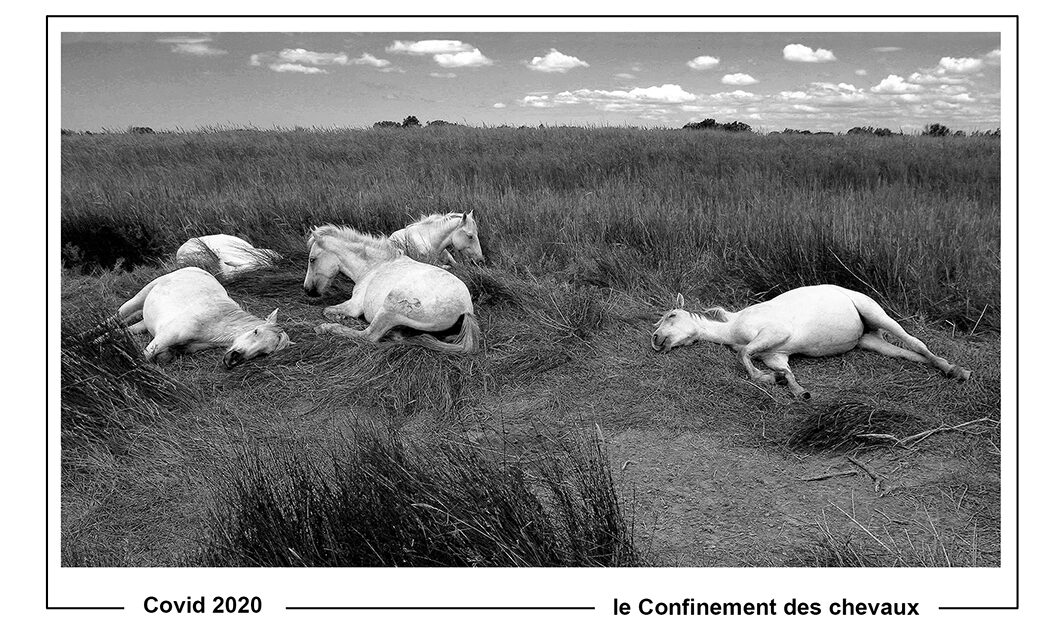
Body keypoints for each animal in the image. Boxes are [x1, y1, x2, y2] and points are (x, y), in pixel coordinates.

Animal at [118, 267, 292, 368]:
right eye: (256, 331)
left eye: (264, 353)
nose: (235, 357)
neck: (211, 324)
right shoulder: (165, 336)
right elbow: (144, 356)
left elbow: (164, 356)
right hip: (141, 295)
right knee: (119, 314)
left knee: (130, 328)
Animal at [304, 224, 480, 354]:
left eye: (312, 259)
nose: (307, 290)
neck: (374, 266)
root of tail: (466, 309)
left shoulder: (354, 305)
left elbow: (326, 310)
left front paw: (338, 319)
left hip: (390, 306)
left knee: (368, 335)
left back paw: (325, 328)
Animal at [650, 285, 971, 399]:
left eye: (672, 315)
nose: (656, 340)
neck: (733, 328)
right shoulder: (775, 353)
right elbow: (782, 369)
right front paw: (791, 386)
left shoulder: (775, 333)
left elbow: (743, 356)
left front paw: (767, 379)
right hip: (870, 341)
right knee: (911, 354)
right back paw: (950, 369)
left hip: (875, 312)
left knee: (916, 343)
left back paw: (958, 371)